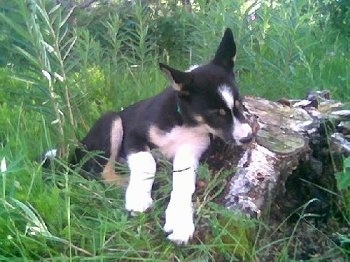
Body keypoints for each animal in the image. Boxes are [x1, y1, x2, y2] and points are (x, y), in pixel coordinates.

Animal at [67, 27, 252, 245]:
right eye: (216, 114)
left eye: (240, 104)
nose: (248, 137)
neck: (182, 121)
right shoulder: (134, 136)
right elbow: (147, 163)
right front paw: (138, 197)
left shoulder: (191, 150)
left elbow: (183, 182)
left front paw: (180, 221)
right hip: (112, 120)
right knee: (99, 173)